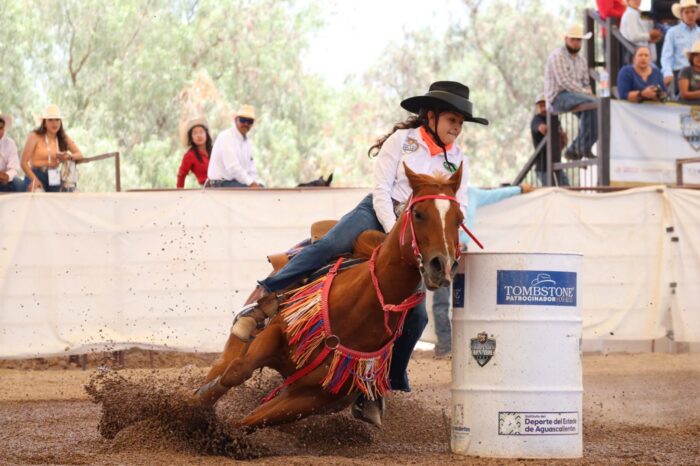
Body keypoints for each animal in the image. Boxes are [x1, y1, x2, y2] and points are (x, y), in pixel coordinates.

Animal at [193, 164, 464, 430]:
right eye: (418, 214)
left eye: (459, 219)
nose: (442, 266)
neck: (357, 311)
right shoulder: (275, 332)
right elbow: (236, 373)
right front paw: (192, 410)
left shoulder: (315, 397)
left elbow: (251, 420)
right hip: (240, 341)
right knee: (224, 365)